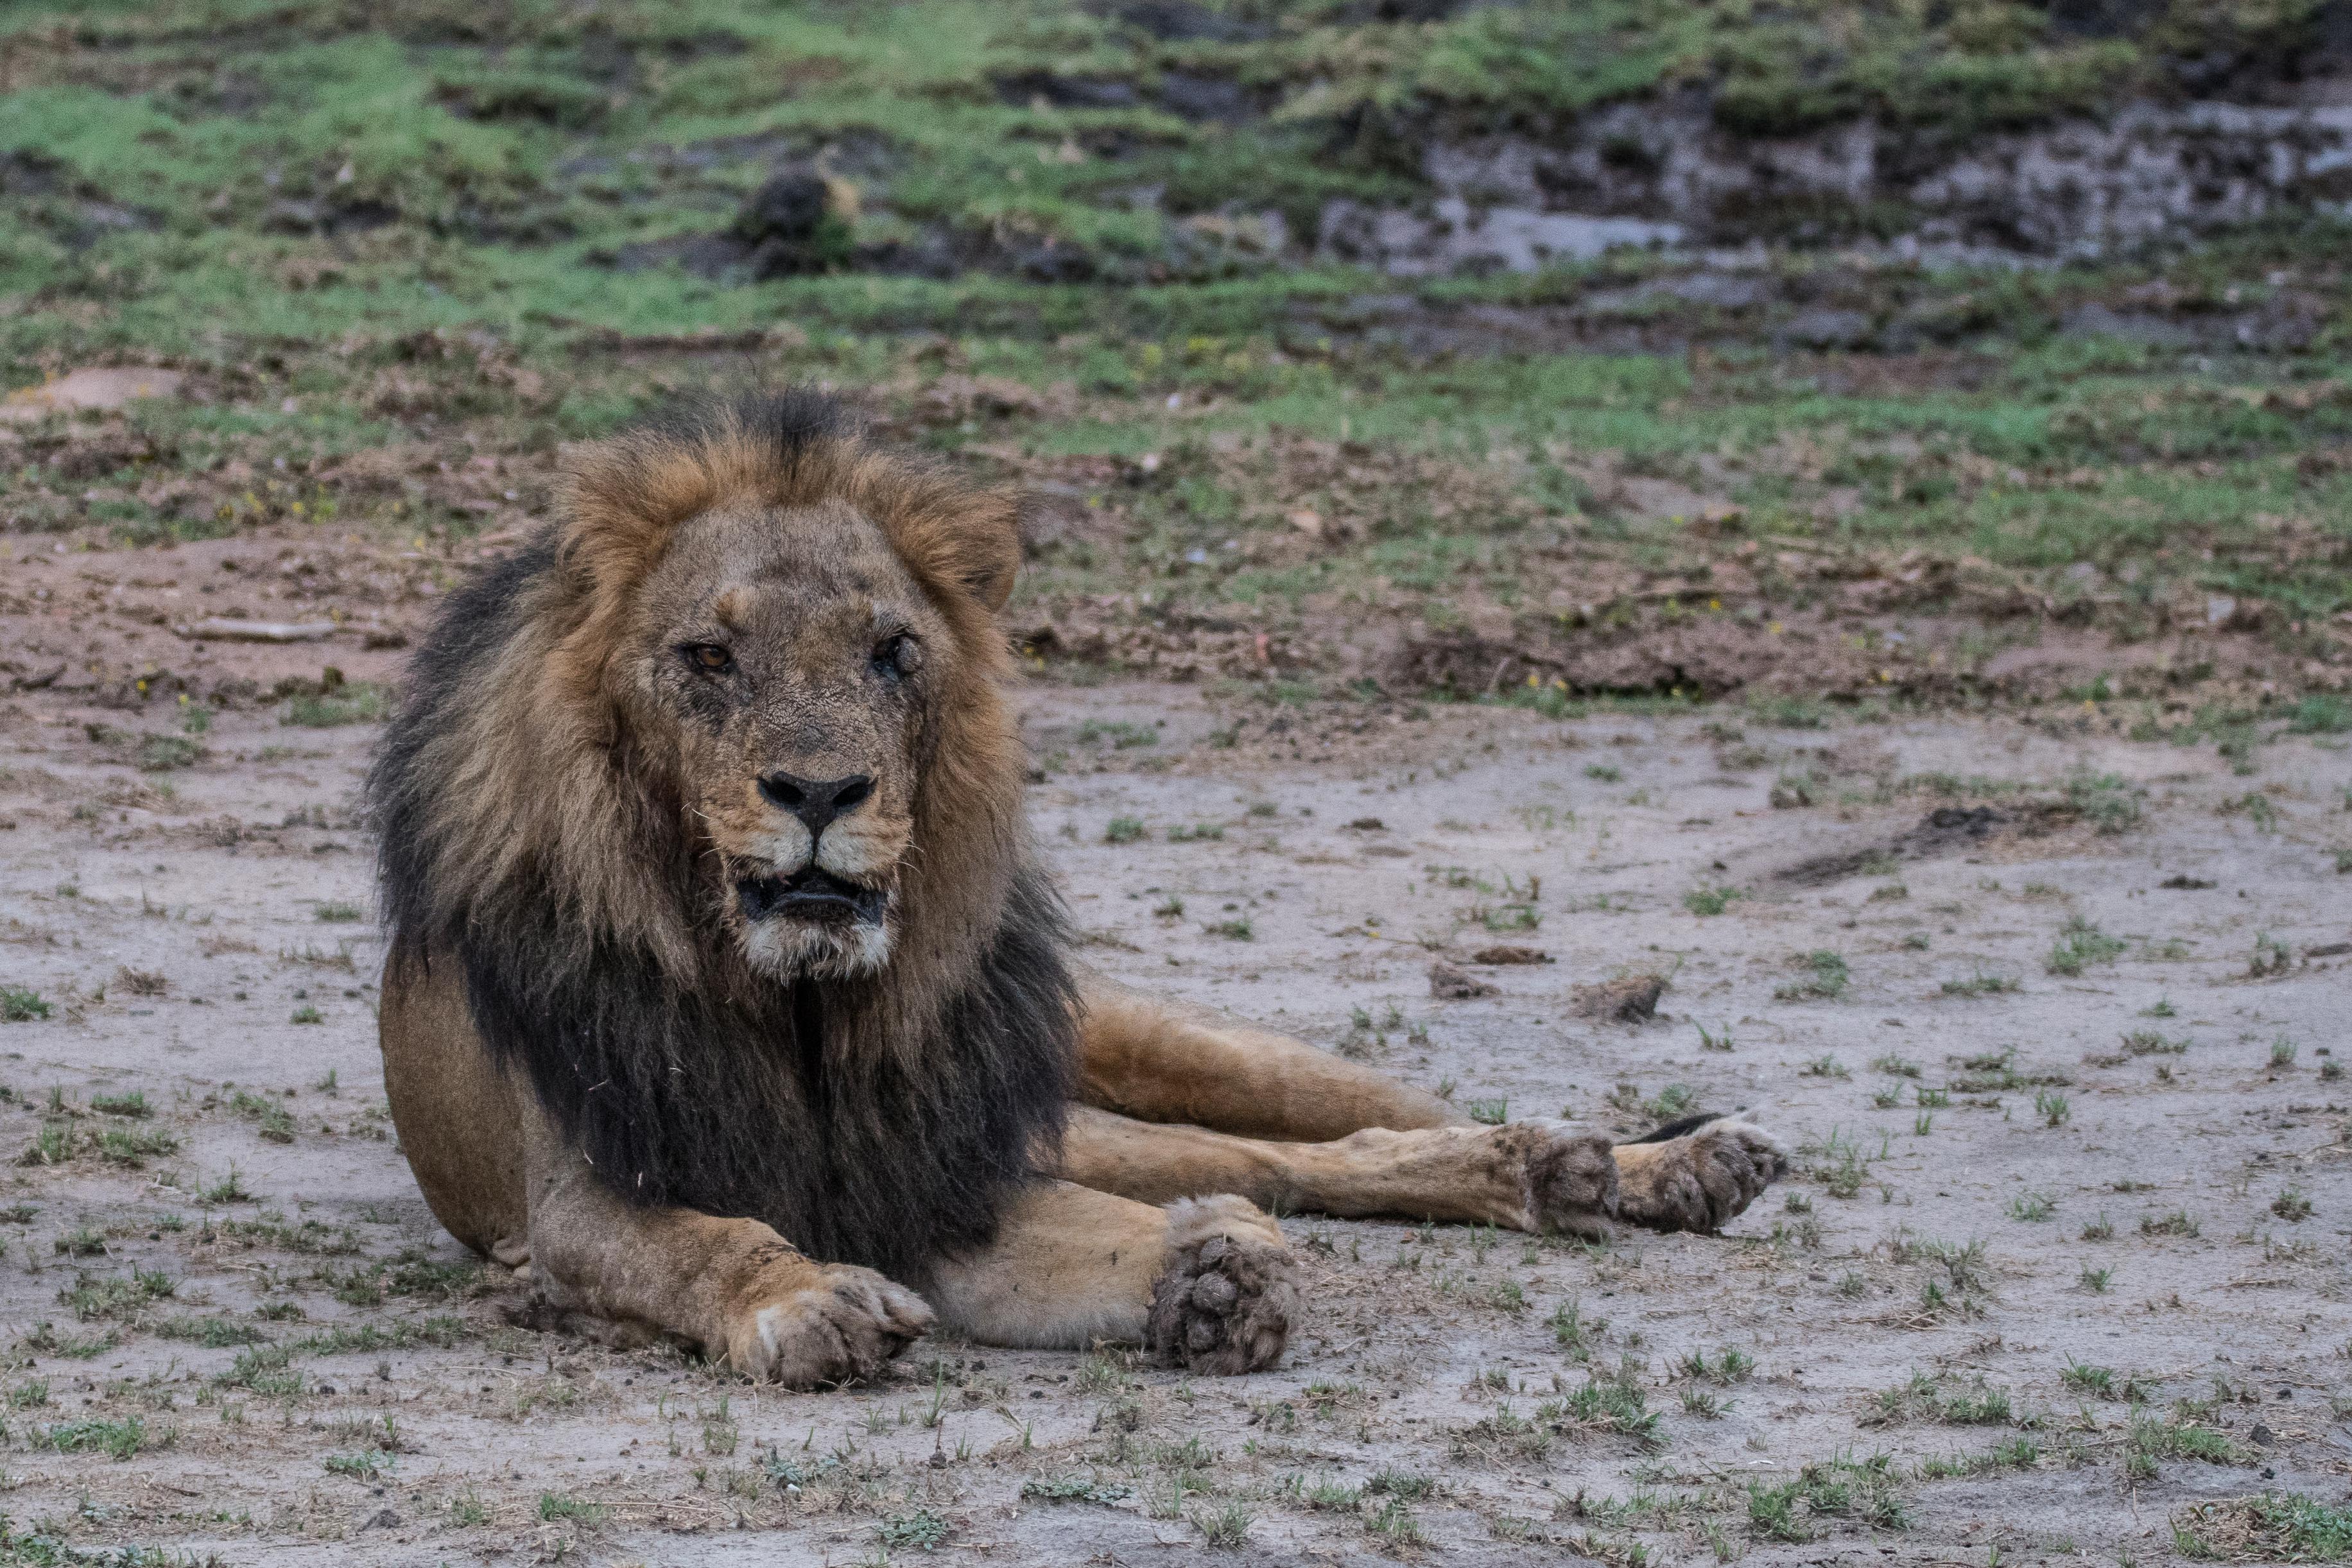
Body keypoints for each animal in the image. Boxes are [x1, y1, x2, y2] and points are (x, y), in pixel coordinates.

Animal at [371, 390, 1777, 1382]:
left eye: (892, 653)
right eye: (706, 656)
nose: (822, 792)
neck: (804, 1015)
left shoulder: (947, 1167)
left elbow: (1103, 1224)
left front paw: (1203, 1279)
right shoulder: (576, 1202)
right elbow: (701, 1244)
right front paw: (806, 1297)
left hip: (1133, 1058)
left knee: (1303, 1136)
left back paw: (1637, 1165)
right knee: (1278, 1163)